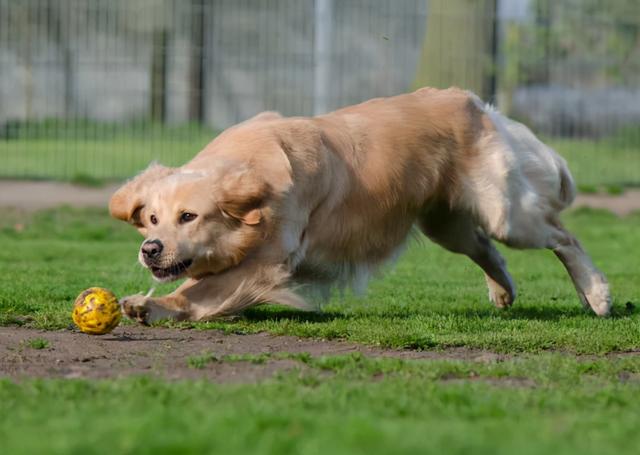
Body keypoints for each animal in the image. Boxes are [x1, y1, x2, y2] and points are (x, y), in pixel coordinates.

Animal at [110, 88, 608, 324]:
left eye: (188, 217)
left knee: (562, 235)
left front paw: (153, 306)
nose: (150, 249)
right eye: (152, 219)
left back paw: (597, 293)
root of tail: (474, 102)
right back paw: (503, 292)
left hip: (506, 212)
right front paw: (148, 305)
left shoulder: (267, 263)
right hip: (446, 223)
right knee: (487, 249)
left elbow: (198, 290)